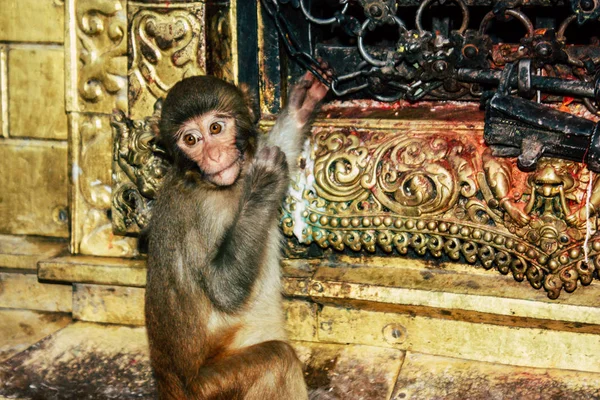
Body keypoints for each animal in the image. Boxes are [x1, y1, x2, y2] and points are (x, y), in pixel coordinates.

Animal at [146, 72, 328, 400]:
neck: (208, 182)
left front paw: (300, 107)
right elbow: (224, 289)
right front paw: (263, 183)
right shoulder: (206, 214)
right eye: (191, 140)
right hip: (213, 389)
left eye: (216, 128)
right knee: (277, 358)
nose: (214, 155)